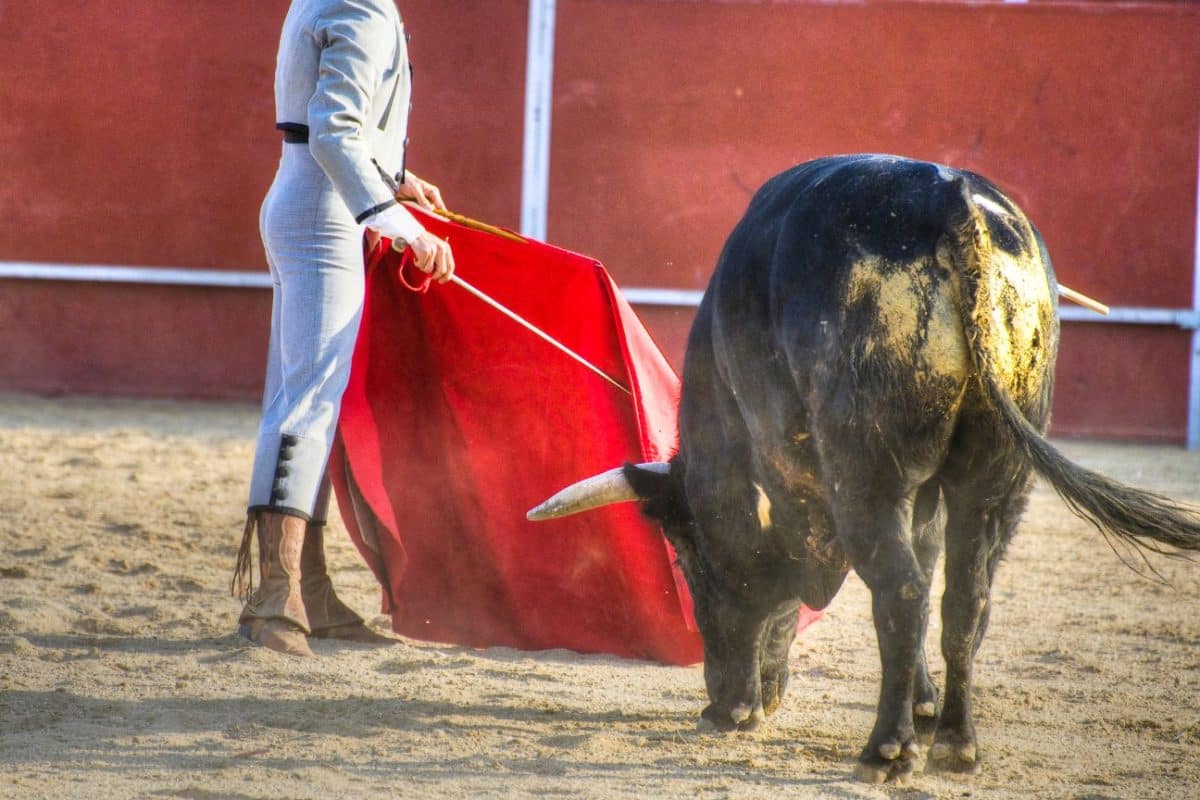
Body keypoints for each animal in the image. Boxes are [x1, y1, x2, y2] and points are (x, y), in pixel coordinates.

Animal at [530, 153, 1200, 786]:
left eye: (690, 559)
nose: (721, 703)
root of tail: (950, 200)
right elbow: (924, 560)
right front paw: (923, 704)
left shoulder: (783, 476)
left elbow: (788, 578)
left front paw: (743, 708)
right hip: (999, 474)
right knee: (965, 597)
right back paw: (955, 744)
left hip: (868, 469)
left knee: (901, 590)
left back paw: (886, 751)